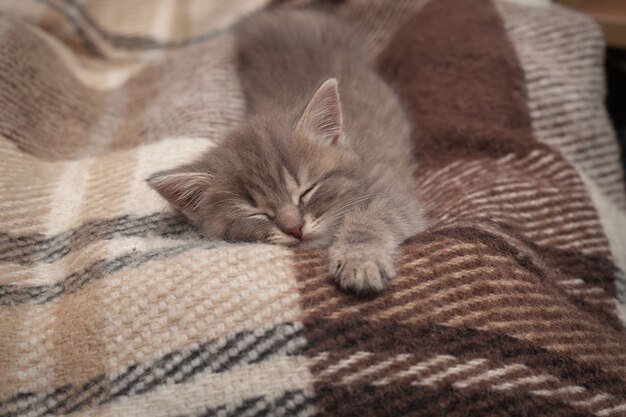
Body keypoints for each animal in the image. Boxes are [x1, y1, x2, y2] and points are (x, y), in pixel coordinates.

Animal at [149, 8, 426, 290]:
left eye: (306, 192)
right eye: (257, 213)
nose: (295, 229)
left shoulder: (391, 190)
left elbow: (372, 219)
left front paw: (358, 259)